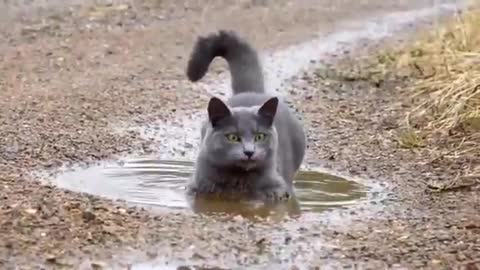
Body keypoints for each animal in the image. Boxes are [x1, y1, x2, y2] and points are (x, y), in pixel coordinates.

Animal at [186, 30, 306, 201]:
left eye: (260, 136)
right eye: (233, 137)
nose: (249, 152)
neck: (239, 179)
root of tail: (251, 91)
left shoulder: (279, 190)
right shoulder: (196, 186)